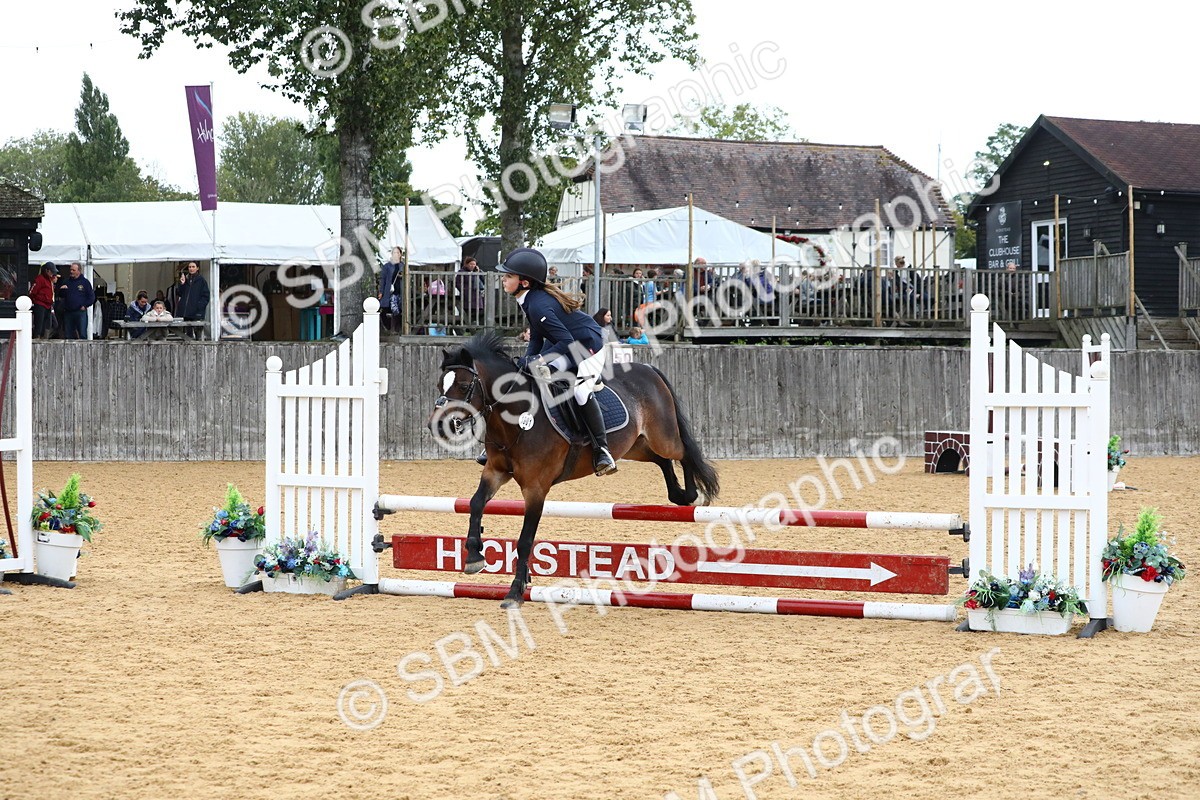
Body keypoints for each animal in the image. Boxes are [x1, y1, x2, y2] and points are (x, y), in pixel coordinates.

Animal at [428, 330, 720, 609]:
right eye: (440, 384)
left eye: (463, 385)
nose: (437, 425)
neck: (515, 418)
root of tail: (648, 369)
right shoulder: (495, 472)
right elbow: (476, 503)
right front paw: (474, 557)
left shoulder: (535, 488)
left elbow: (525, 540)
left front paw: (514, 592)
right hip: (635, 445)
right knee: (662, 461)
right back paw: (679, 495)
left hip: (663, 437)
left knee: (684, 453)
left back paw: (693, 495)